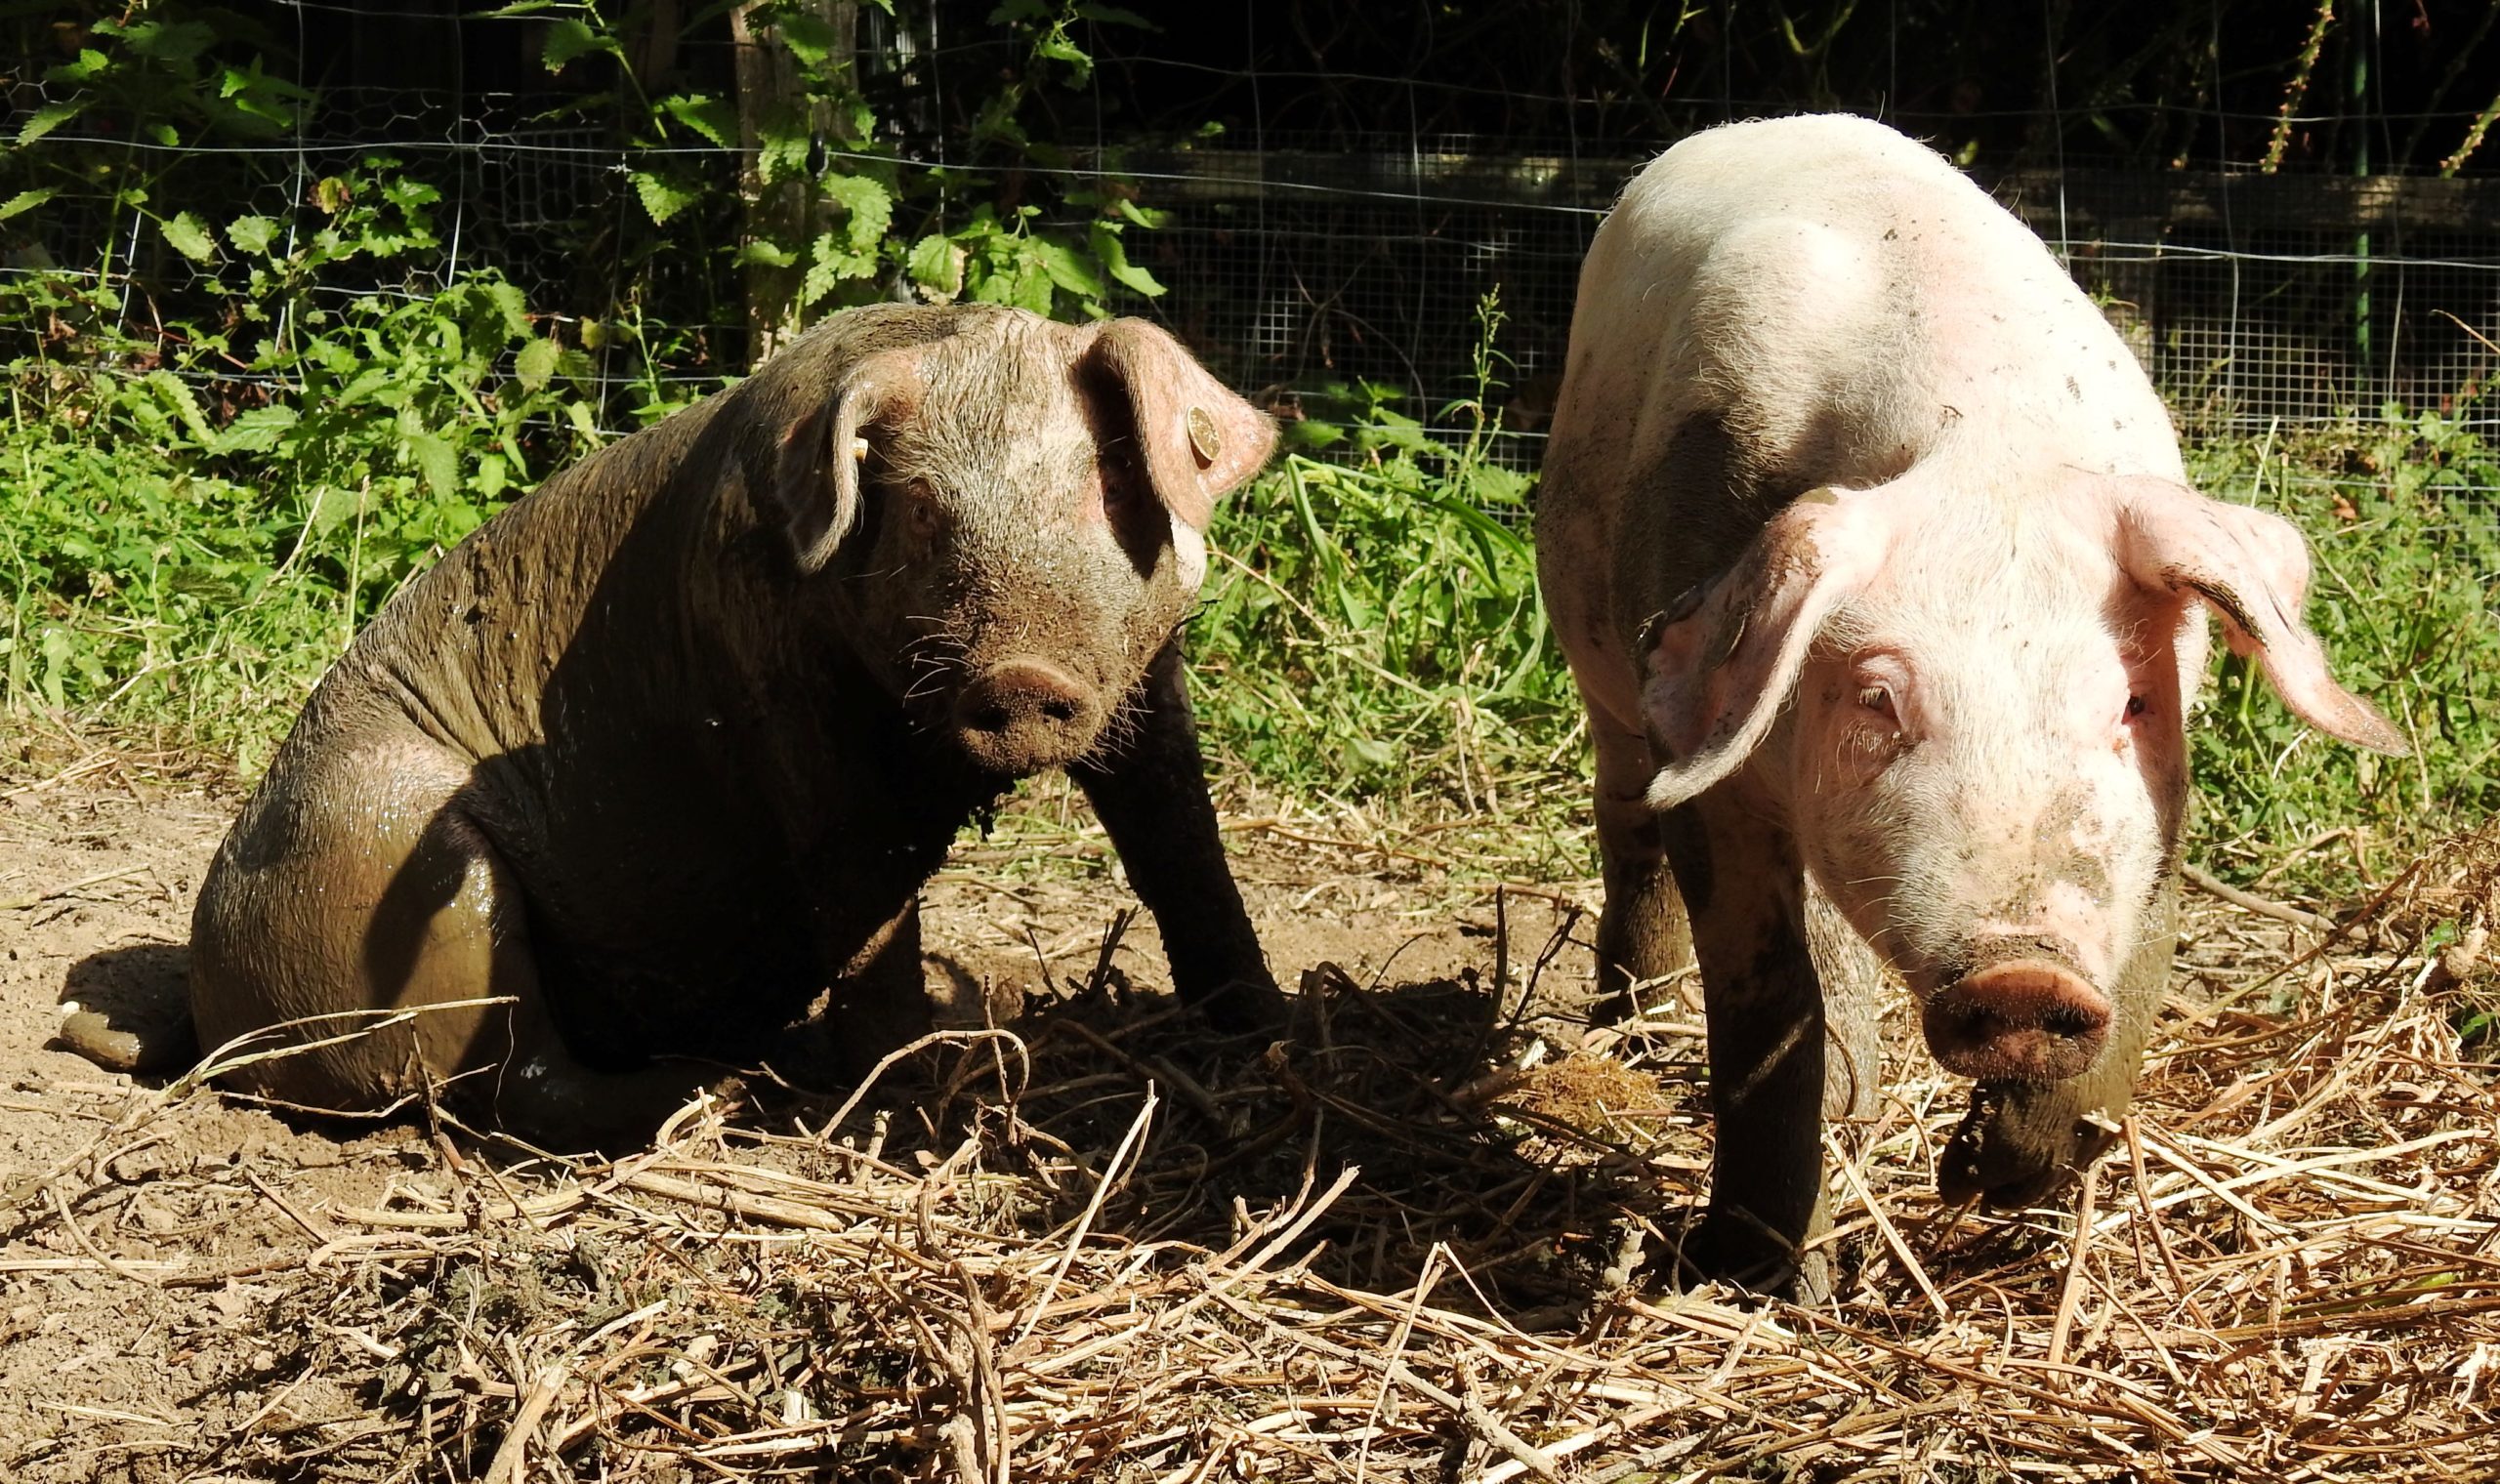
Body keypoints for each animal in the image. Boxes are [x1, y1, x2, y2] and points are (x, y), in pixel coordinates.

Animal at [153, 300, 1279, 1143]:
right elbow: (866, 907)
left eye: (1111, 480)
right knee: (512, 1083)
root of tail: (214, 1015)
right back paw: (722, 1091)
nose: (1021, 674)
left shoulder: (1148, 678)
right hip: (408, 866)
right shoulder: (782, 698)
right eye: (920, 508)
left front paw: (1264, 1032)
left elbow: (1185, 852)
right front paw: (904, 1094)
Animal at [1529, 118, 2409, 1298]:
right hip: (1605, 653)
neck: (1984, 448)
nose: (2025, 971)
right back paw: (1644, 1029)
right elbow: (1764, 1004)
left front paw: (1978, 1178)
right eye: (1876, 697)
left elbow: (2137, 984)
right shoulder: (1715, 760)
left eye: (2131, 700)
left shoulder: (2161, 801)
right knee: (1628, 823)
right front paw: (1765, 1280)